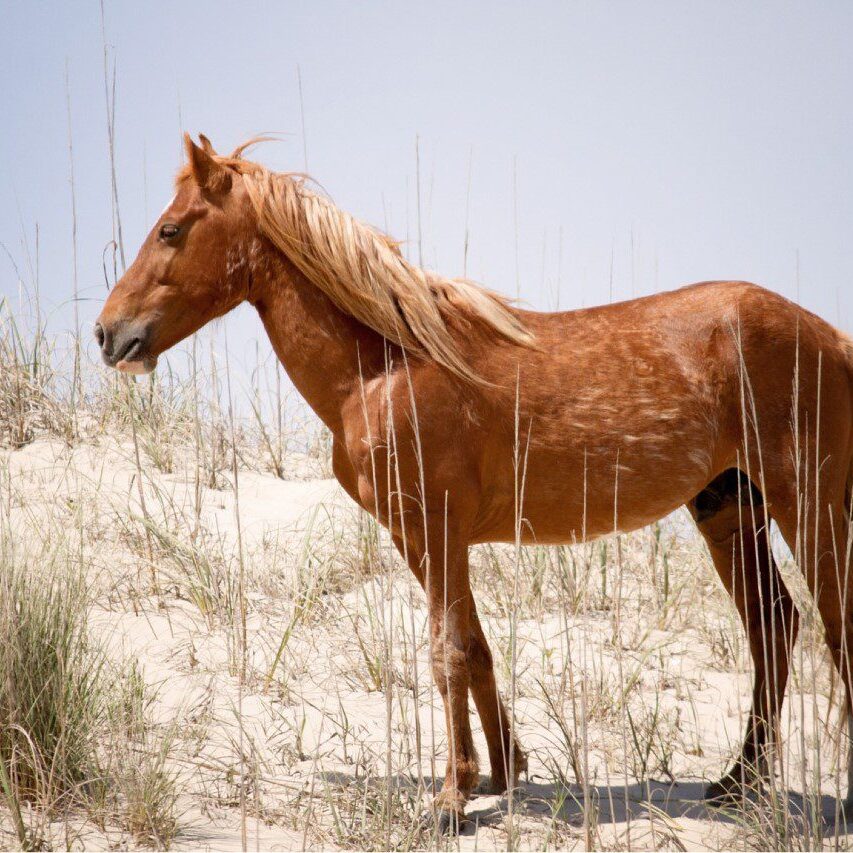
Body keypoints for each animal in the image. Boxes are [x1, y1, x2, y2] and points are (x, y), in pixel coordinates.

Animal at [95, 134, 853, 830]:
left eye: (170, 229)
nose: (108, 334)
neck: (385, 366)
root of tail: (832, 339)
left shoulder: (438, 529)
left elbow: (447, 653)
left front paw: (452, 795)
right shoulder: (422, 539)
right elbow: (477, 648)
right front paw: (500, 771)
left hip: (807, 509)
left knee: (831, 625)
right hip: (728, 510)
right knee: (772, 624)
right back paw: (737, 779)